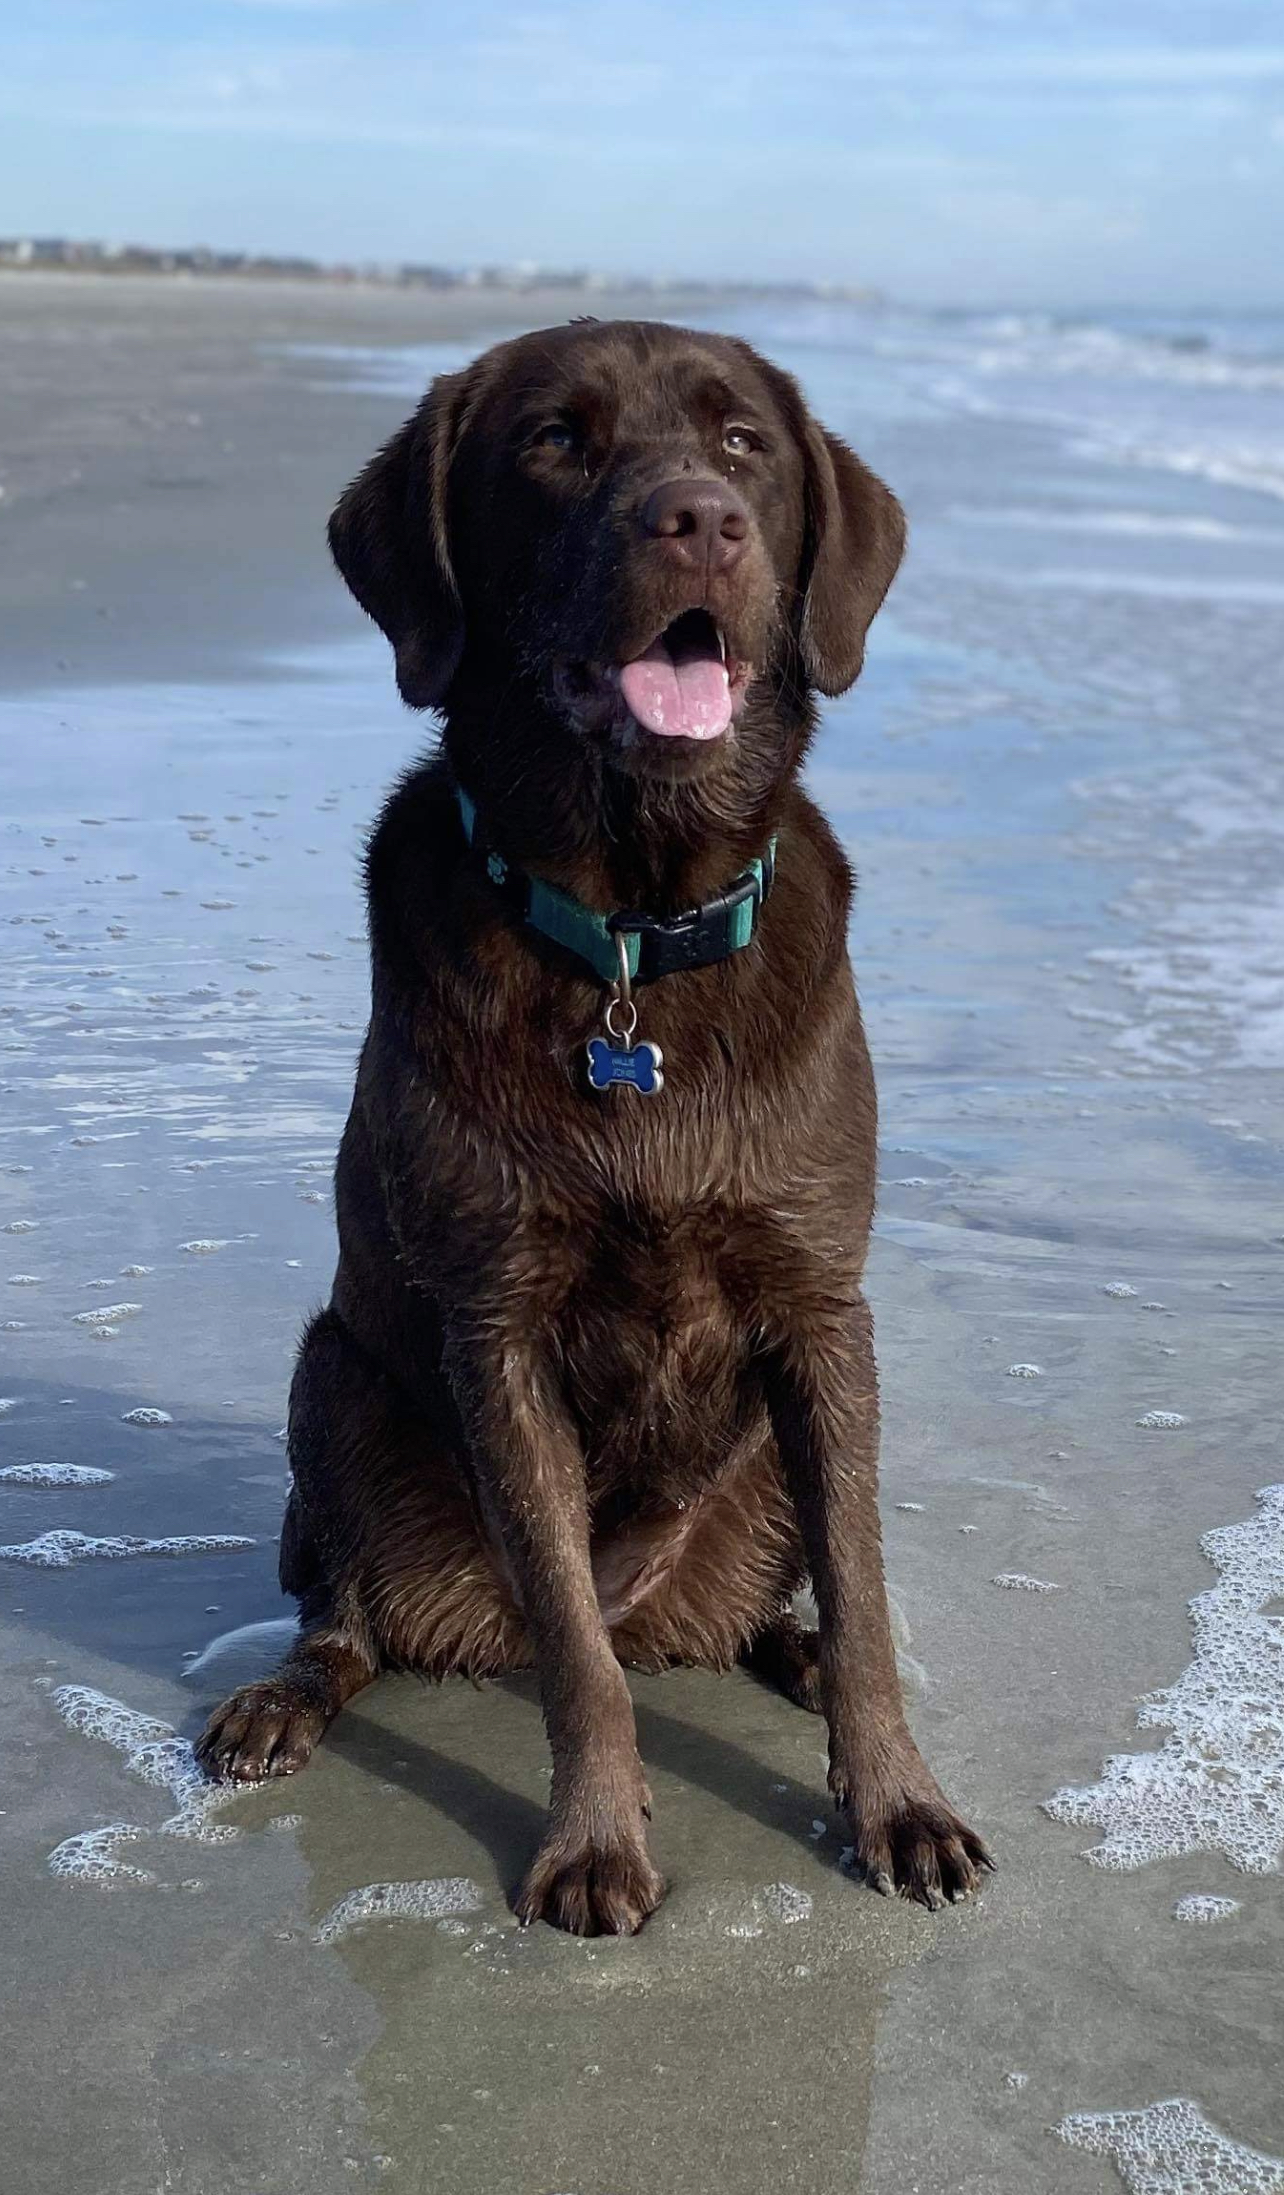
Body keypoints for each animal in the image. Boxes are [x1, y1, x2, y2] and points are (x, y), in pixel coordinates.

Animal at [195, 318, 987, 1931]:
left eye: (744, 444)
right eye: (555, 440)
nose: (700, 519)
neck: (630, 930)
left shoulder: (825, 1310)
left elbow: (866, 1588)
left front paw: (897, 1798)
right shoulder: (496, 1324)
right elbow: (572, 1652)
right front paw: (594, 1837)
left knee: (787, 1599)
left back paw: (792, 1654)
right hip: (337, 1377)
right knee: (353, 1615)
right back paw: (281, 1700)